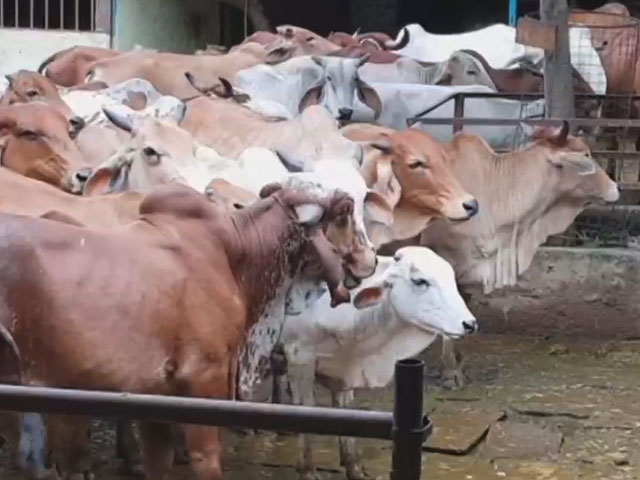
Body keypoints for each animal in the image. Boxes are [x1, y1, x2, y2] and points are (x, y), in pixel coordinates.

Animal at [0, 179, 371, 480]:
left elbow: (158, 462)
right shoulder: (204, 378)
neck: (238, 251)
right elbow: (206, 461)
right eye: (343, 213)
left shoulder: (154, 393)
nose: (369, 263)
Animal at [278, 246, 477, 480]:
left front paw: (354, 468)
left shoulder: (344, 370)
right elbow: (306, 409)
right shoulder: (299, 356)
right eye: (419, 281)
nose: (470, 323)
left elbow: (345, 413)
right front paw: (308, 470)